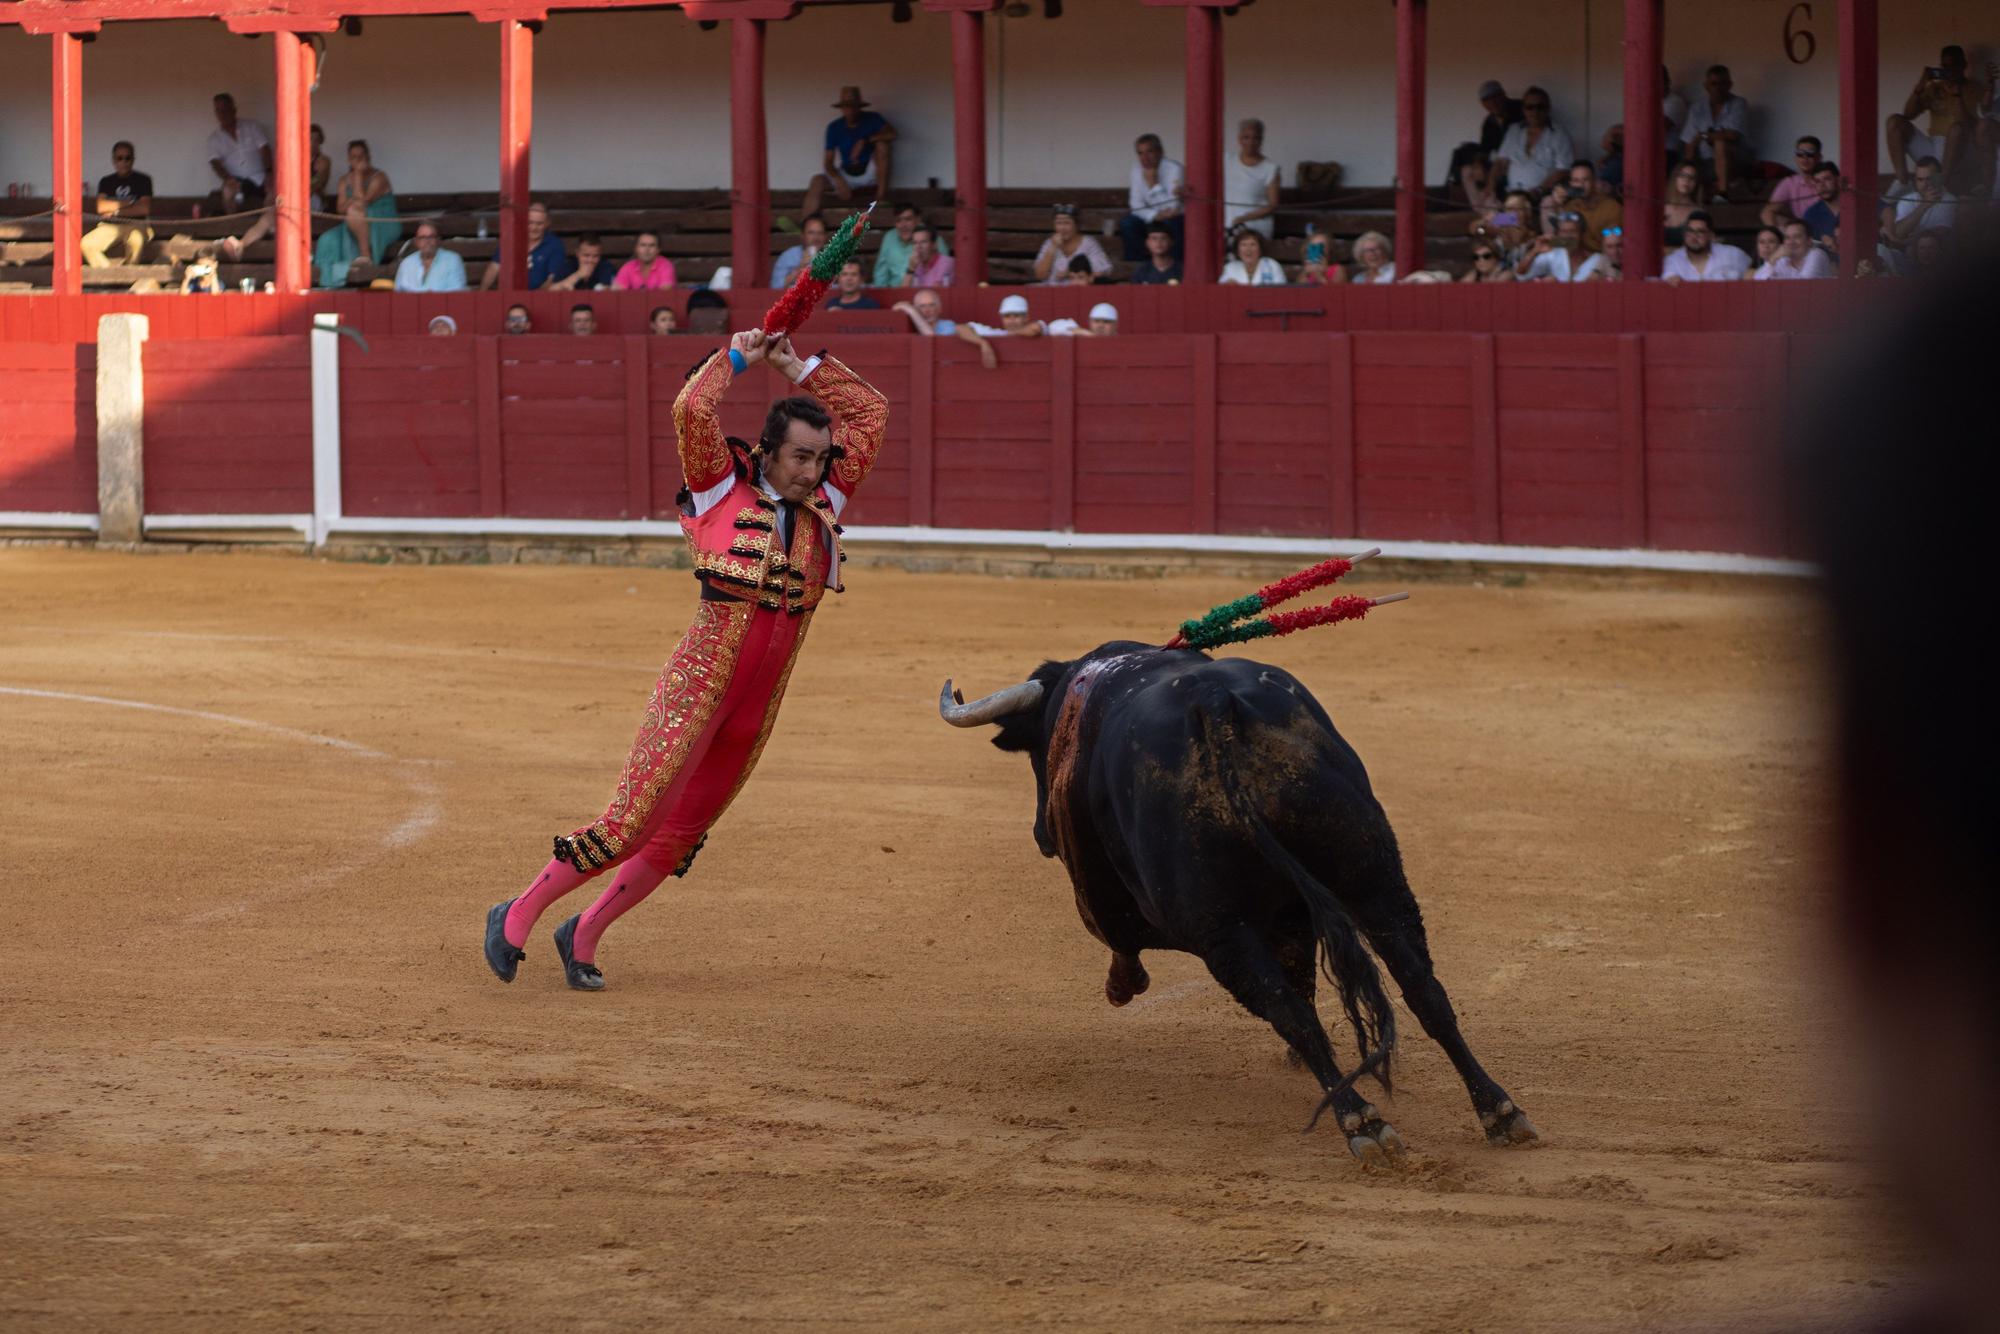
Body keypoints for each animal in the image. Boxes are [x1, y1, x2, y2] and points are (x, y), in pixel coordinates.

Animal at [944, 640, 1536, 1160]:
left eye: (1037, 753)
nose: (1041, 832)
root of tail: (1214, 703)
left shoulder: (1111, 895)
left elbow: (1120, 936)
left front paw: (1124, 984)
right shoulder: (1297, 912)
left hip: (1219, 928)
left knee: (1289, 1010)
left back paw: (1361, 1122)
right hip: (1374, 876)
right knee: (1422, 987)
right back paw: (1499, 1111)